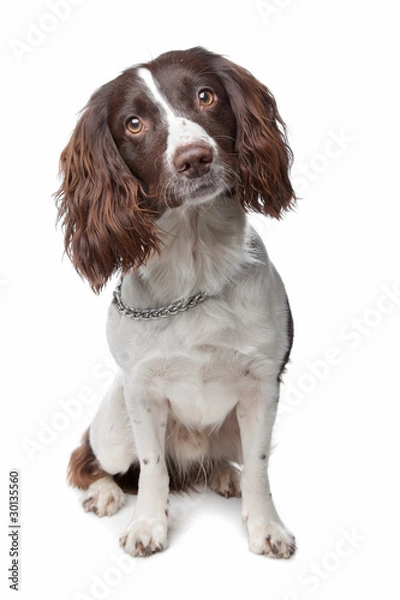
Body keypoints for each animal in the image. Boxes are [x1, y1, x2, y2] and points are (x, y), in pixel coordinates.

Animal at [57, 47, 298, 556]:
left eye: (205, 96)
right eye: (133, 123)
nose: (195, 159)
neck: (195, 269)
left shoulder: (263, 387)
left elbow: (260, 465)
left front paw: (266, 527)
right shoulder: (141, 392)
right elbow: (152, 469)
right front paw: (148, 526)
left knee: (218, 462)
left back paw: (225, 476)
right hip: (114, 424)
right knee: (89, 458)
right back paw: (104, 492)